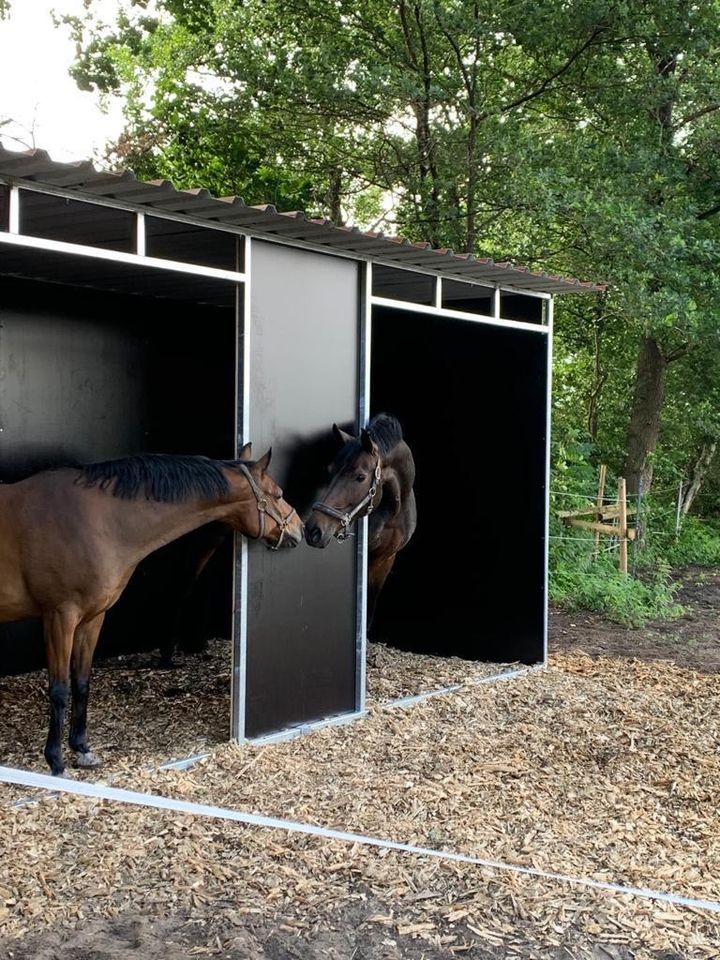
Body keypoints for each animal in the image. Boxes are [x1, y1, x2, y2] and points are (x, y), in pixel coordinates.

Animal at [0, 446, 300, 776]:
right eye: (278, 493)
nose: (299, 527)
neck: (95, 520)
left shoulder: (92, 618)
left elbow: (81, 683)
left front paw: (82, 748)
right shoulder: (59, 617)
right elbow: (59, 689)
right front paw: (55, 760)